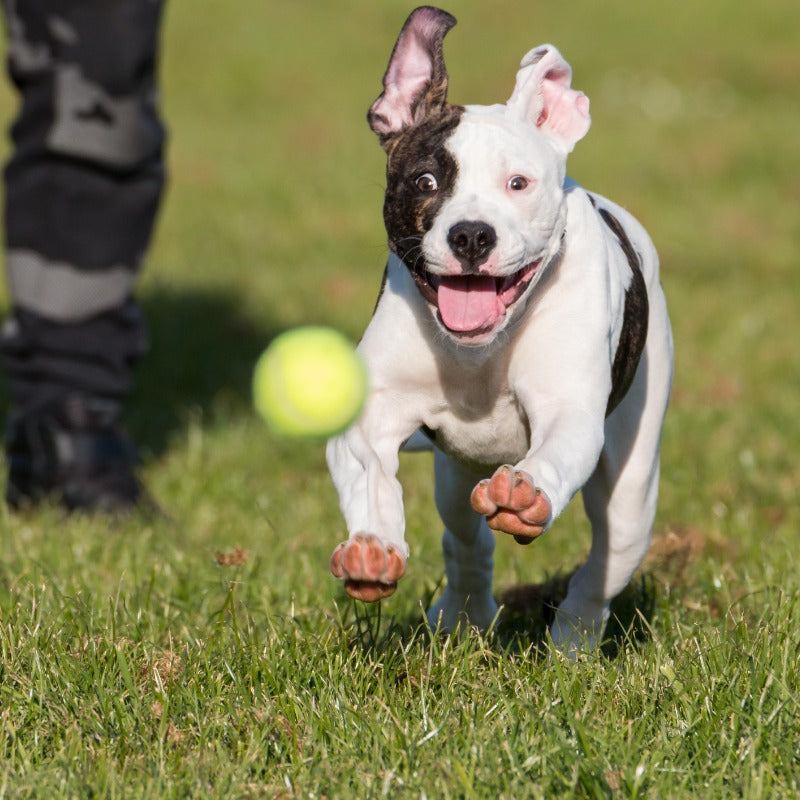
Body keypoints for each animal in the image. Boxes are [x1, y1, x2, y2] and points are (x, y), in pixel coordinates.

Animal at [324, 4, 668, 648]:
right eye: (426, 182)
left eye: (518, 184)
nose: (471, 235)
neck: (480, 352)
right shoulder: (372, 414)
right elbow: (369, 469)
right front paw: (373, 546)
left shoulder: (569, 409)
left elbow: (556, 448)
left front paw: (524, 493)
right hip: (454, 477)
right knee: (466, 540)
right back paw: (463, 615)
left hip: (633, 486)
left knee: (605, 563)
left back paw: (574, 642)